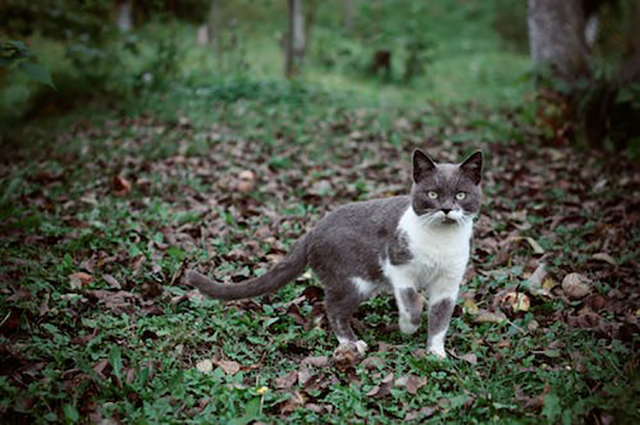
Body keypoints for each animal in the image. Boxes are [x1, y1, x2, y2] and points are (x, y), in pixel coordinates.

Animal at [184, 149, 480, 358]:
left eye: (461, 195)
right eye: (432, 194)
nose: (446, 209)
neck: (440, 241)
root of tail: (313, 230)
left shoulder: (449, 282)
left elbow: (441, 317)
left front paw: (436, 353)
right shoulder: (397, 263)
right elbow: (410, 300)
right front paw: (408, 327)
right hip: (354, 277)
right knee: (334, 308)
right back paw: (352, 343)